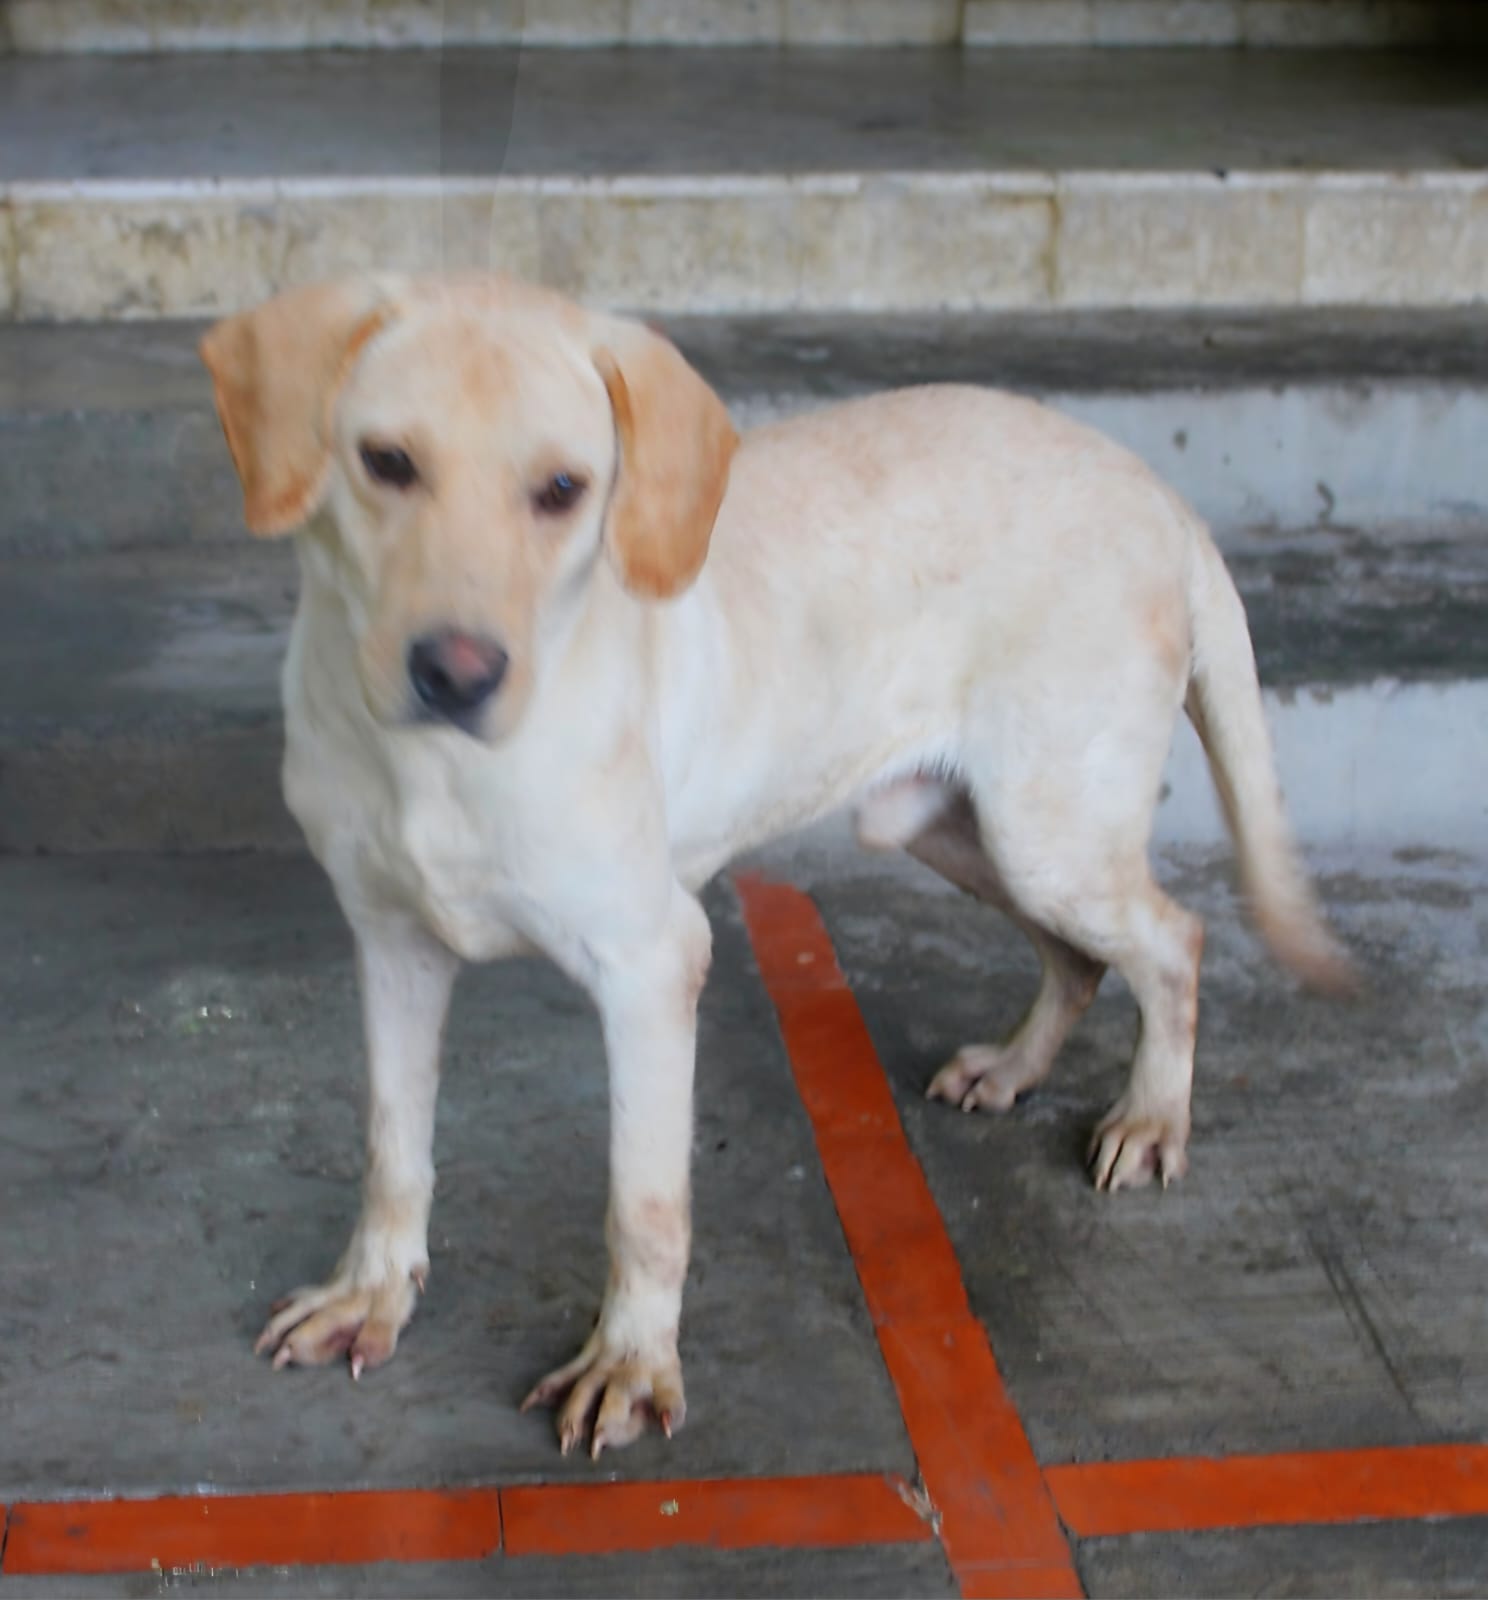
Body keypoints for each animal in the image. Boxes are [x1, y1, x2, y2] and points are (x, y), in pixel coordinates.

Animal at [200, 271, 1350, 1458]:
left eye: (563, 489)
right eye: (385, 461)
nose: (456, 673)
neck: (434, 768)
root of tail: (1156, 492)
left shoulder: (654, 965)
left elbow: (644, 1204)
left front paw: (632, 1364)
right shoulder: (392, 944)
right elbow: (393, 1147)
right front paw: (371, 1294)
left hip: (1052, 830)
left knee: (1174, 936)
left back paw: (1153, 1117)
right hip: (953, 826)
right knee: (1078, 956)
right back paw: (1013, 1067)